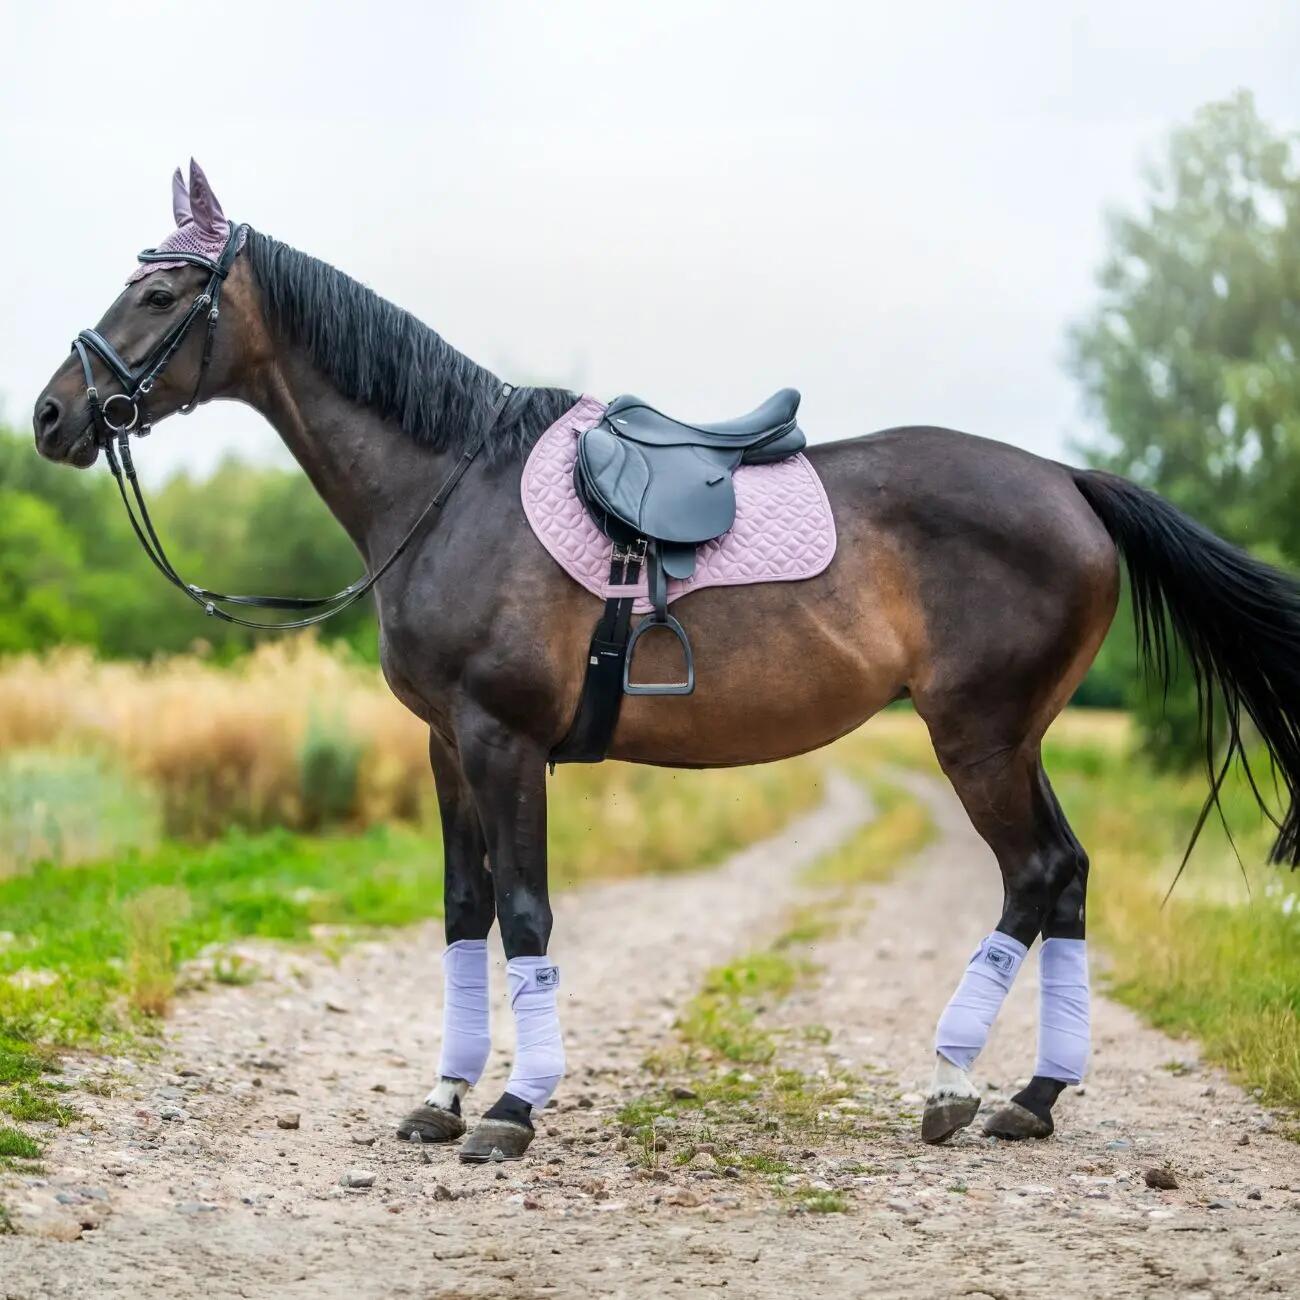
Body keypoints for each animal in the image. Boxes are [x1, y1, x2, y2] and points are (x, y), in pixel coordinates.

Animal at [32, 162, 1300, 1161]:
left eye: (159, 293)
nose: (50, 417)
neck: (451, 489)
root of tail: (1070, 481)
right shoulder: (446, 742)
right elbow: (462, 909)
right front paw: (442, 1096)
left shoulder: (503, 739)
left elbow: (527, 914)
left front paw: (513, 1109)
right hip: (1015, 735)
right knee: (1068, 875)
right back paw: (1032, 1095)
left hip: (976, 735)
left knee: (1033, 874)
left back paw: (957, 1084)